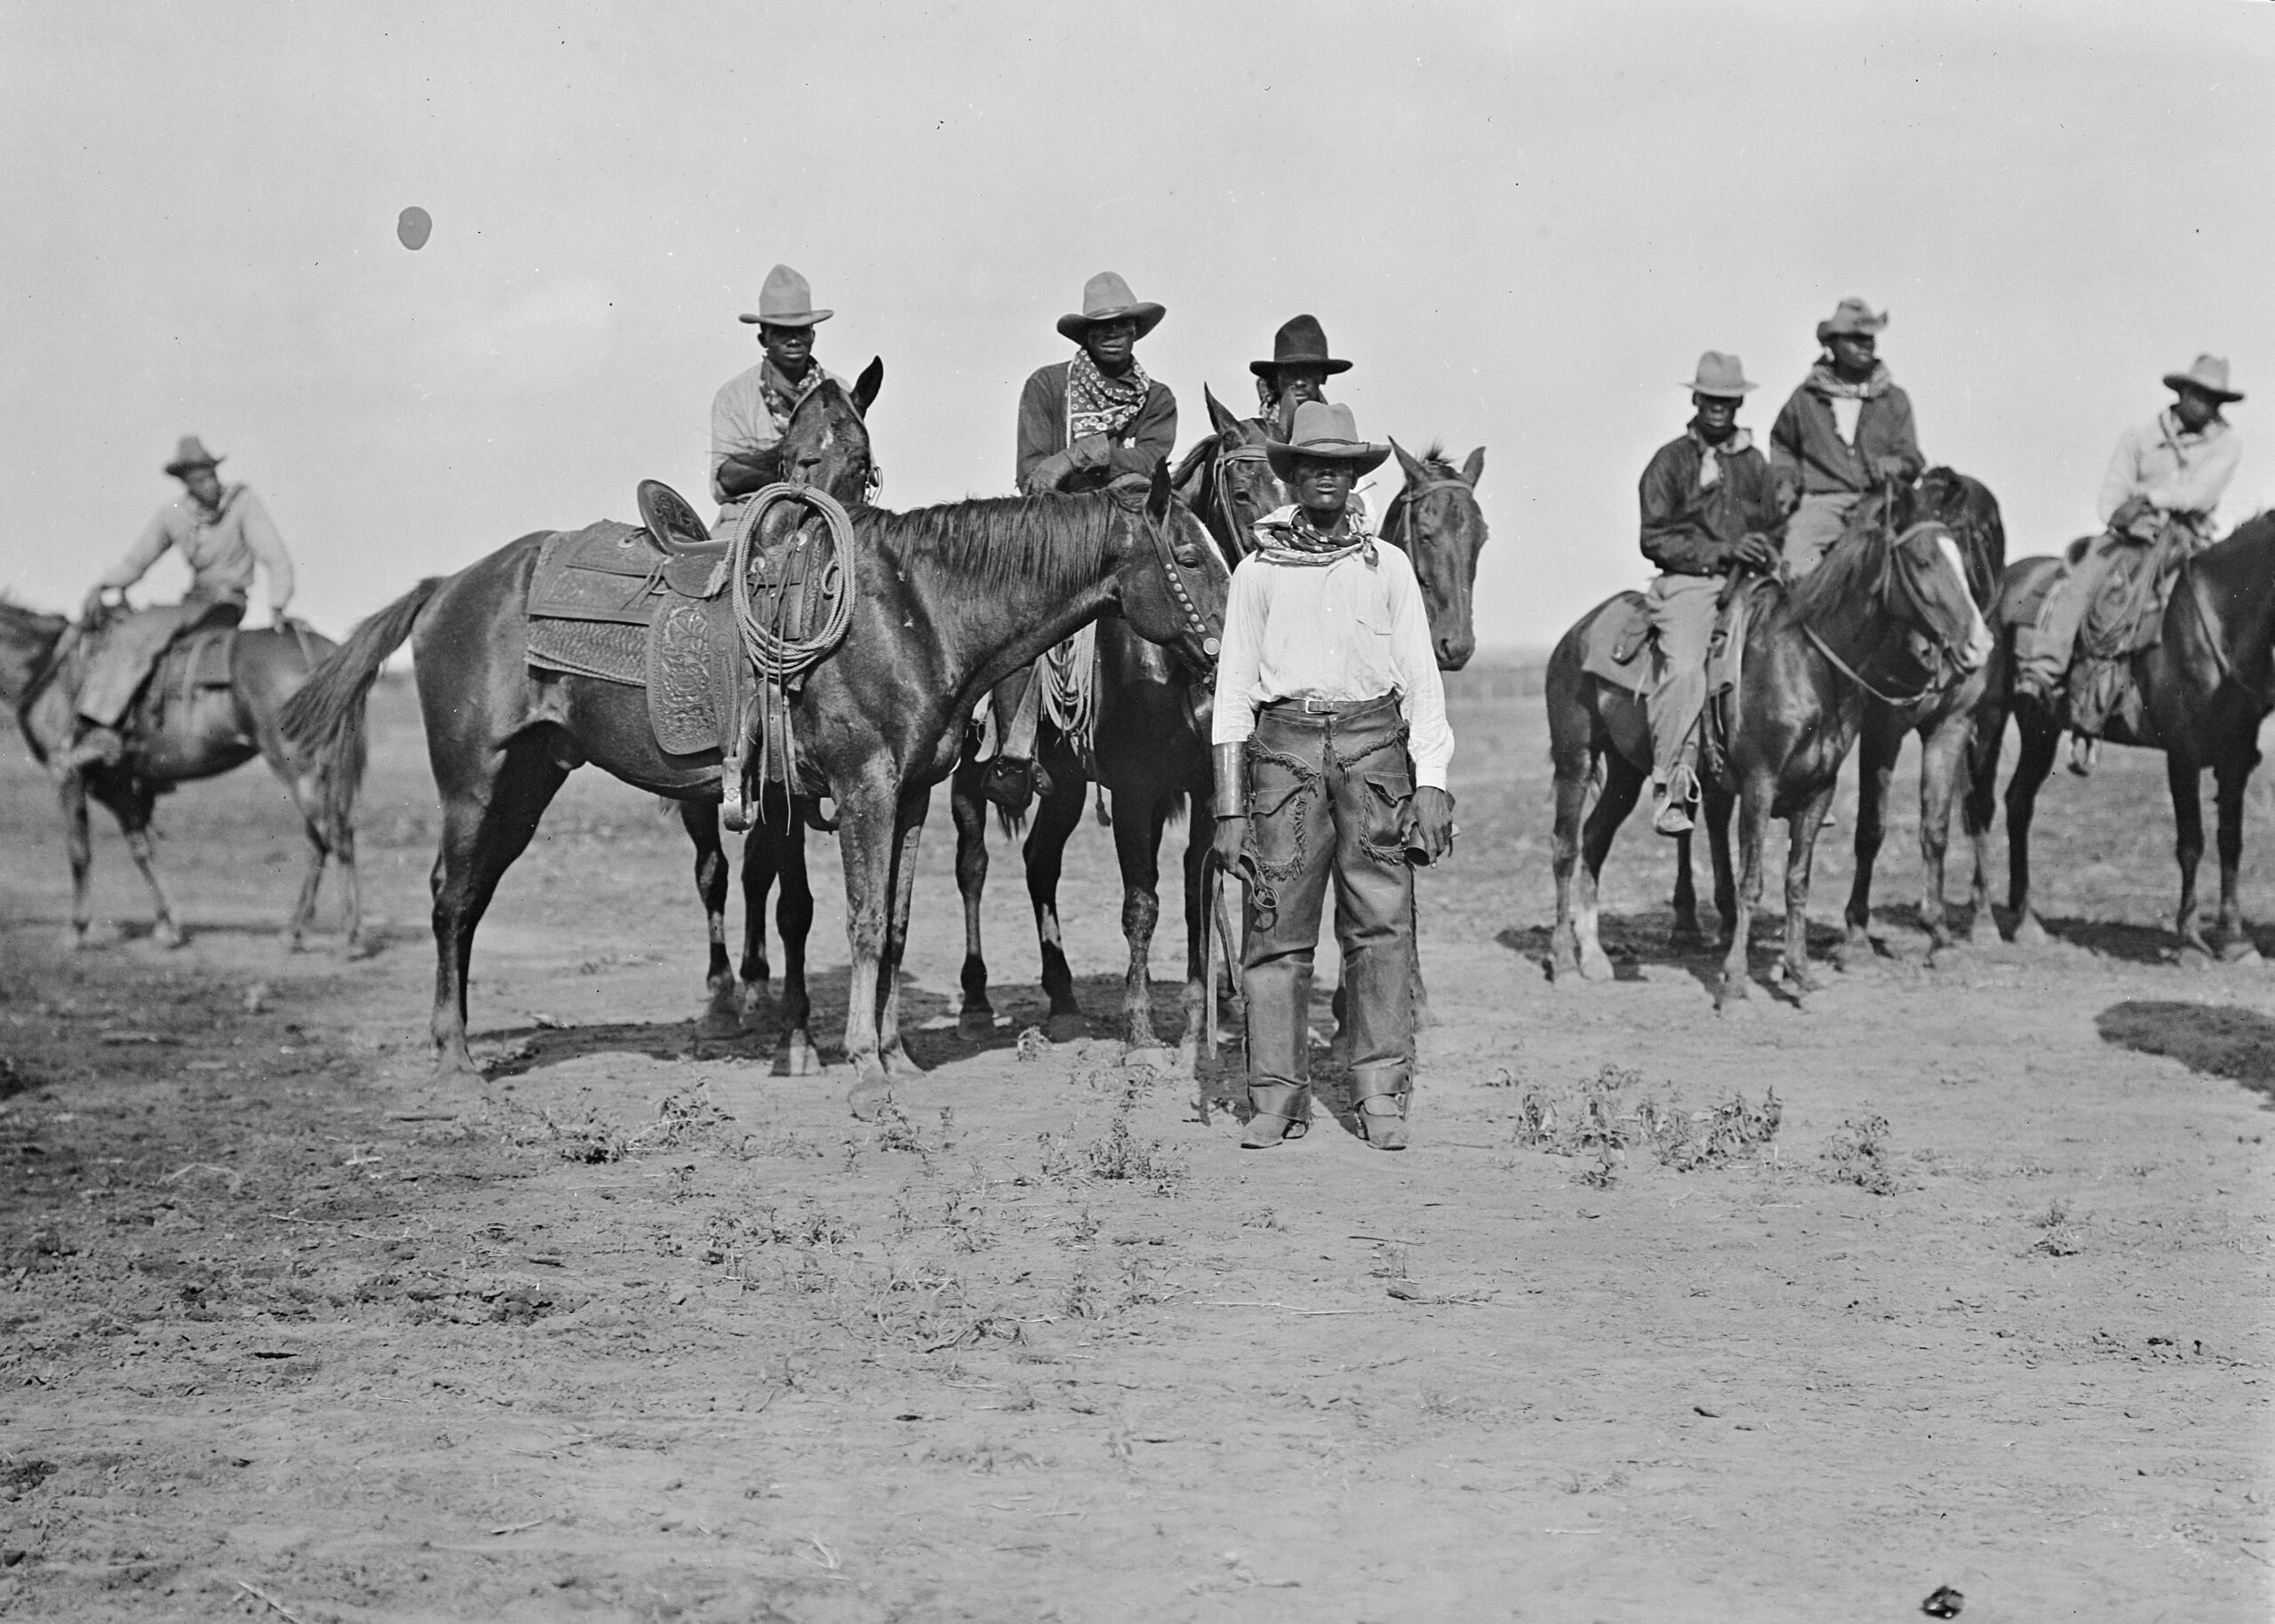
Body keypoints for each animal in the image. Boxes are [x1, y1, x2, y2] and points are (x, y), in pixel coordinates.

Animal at [0, 595, 362, 951]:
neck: (49, 672)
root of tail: (325, 652)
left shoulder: (68, 775)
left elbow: (79, 851)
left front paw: (76, 930)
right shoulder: (116, 784)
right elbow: (140, 848)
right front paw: (167, 926)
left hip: (298, 767)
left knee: (332, 833)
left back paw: (349, 937)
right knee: (325, 837)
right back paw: (296, 931)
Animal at [282, 402, 1228, 1114]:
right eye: (1187, 553)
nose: (1228, 649)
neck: (915, 610)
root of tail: (445, 588)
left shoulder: (913, 795)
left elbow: (894, 920)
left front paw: (894, 1053)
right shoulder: (864, 787)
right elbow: (862, 920)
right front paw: (865, 1070)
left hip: (528, 780)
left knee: (469, 900)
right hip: (475, 782)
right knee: (450, 902)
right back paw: (452, 1060)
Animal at [1546, 486, 1992, 1005]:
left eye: (1964, 557)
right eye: (1922, 561)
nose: (1979, 644)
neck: (1805, 661)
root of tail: (1576, 634)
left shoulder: (1819, 790)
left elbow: (1797, 880)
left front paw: (1799, 973)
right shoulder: (1760, 786)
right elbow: (1752, 882)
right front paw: (1735, 980)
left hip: (1625, 770)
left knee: (1595, 839)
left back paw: (1594, 956)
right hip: (1575, 759)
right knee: (1565, 847)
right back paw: (1563, 961)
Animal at [1829, 461, 2011, 955]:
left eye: (1981, 538)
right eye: (1922, 561)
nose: (1977, 643)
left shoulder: (1953, 726)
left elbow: (1937, 828)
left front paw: (1938, 928)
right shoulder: (1881, 728)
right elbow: (1871, 827)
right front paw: (1855, 931)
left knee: (1980, 809)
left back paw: (1984, 920)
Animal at [1965, 512, 2275, 955]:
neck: (2219, 622)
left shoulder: (2235, 757)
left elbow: (2230, 840)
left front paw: (2235, 940)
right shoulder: (2182, 753)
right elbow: (2191, 843)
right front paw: (2189, 940)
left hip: (2039, 726)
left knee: (2018, 802)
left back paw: (2027, 924)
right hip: (1990, 715)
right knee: (1981, 805)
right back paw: (1984, 923)